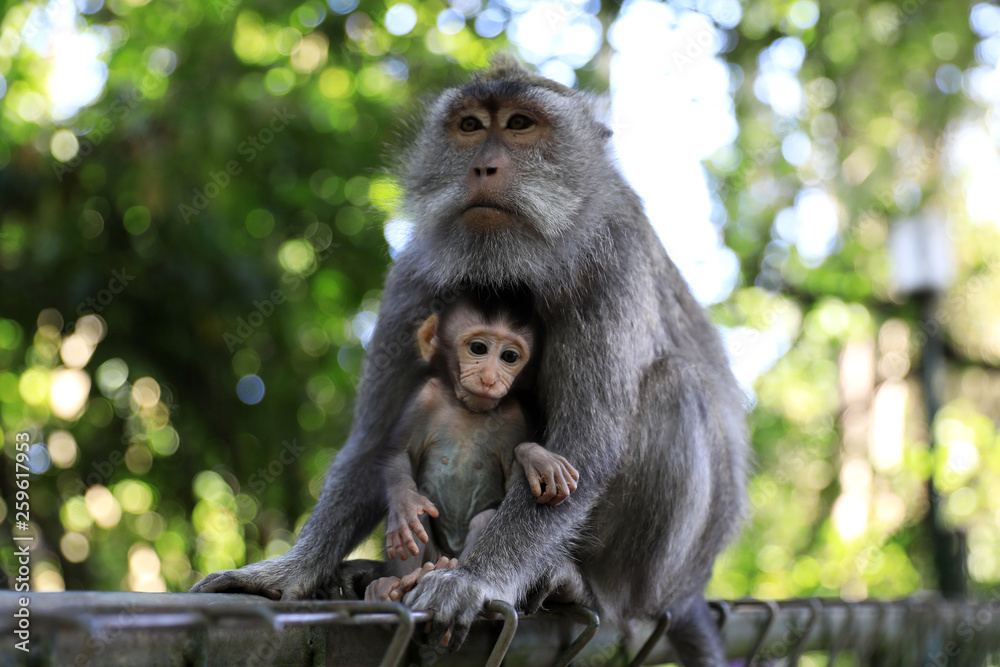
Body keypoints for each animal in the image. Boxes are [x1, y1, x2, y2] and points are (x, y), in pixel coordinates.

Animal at [365, 298, 580, 604]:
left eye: (510, 357)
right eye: (478, 348)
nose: (489, 379)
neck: (468, 409)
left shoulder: (512, 418)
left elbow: (514, 480)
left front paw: (536, 457)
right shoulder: (424, 397)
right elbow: (397, 453)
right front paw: (405, 503)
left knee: (484, 518)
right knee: (418, 517)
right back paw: (396, 585)